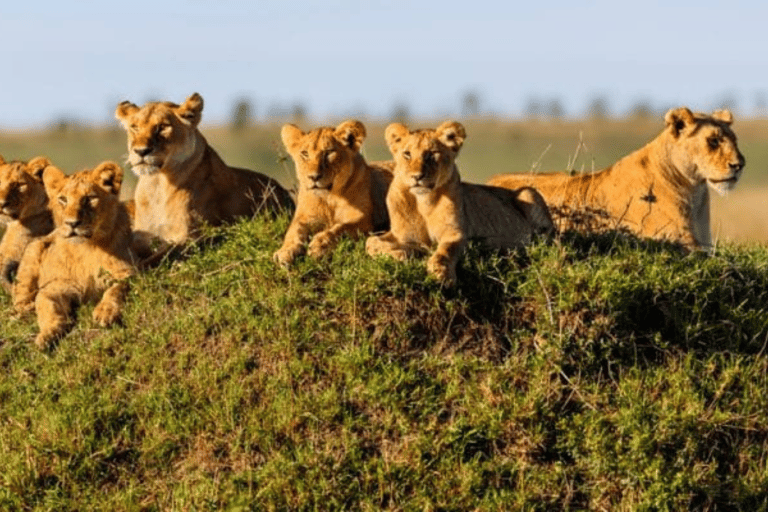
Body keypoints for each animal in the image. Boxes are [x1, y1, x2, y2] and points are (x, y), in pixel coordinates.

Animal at [14, 162, 136, 350]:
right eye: (63, 199)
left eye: (89, 198)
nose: (72, 223)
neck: (85, 248)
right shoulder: (55, 286)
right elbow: (47, 308)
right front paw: (47, 334)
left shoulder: (127, 272)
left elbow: (116, 289)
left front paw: (105, 312)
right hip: (33, 249)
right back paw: (25, 308)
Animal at [115, 92, 296, 262]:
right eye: (135, 127)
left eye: (163, 127)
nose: (141, 151)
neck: (157, 185)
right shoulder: (141, 237)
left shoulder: (196, 237)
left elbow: (159, 258)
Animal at [272, 118, 392, 266]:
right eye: (305, 154)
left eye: (329, 152)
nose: (314, 177)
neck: (329, 197)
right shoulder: (305, 217)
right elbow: (294, 231)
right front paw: (285, 251)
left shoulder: (364, 219)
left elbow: (340, 228)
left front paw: (319, 245)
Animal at [366, 122, 552, 286]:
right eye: (407, 154)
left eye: (432, 154)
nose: (417, 176)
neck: (423, 202)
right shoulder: (400, 235)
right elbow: (371, 242)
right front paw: (405, 253)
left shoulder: (456, 233)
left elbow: (445, 251)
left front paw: (441, 274)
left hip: (529, 192)